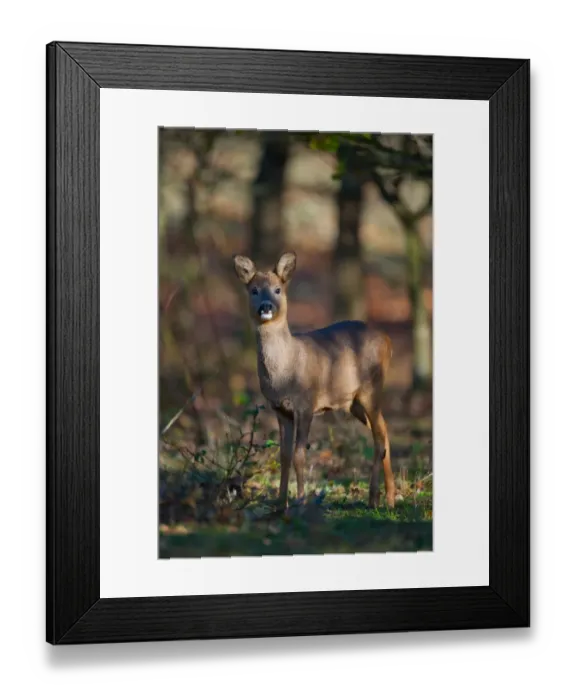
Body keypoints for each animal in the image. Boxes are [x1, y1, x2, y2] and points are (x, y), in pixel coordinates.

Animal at [233, 251, 395, 511]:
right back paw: (382, 496)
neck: (285, 372)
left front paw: (300, 501)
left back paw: (382, 499)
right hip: (354, 402)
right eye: (254, 290)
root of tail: (388, 341)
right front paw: (280, 503)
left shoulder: (306, 403)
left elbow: (299, 454)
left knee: (380, 438)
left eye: (278, 289)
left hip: (372, 387)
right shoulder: (280, 409)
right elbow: (284, 455)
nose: (266, 307)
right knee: (383, 431)